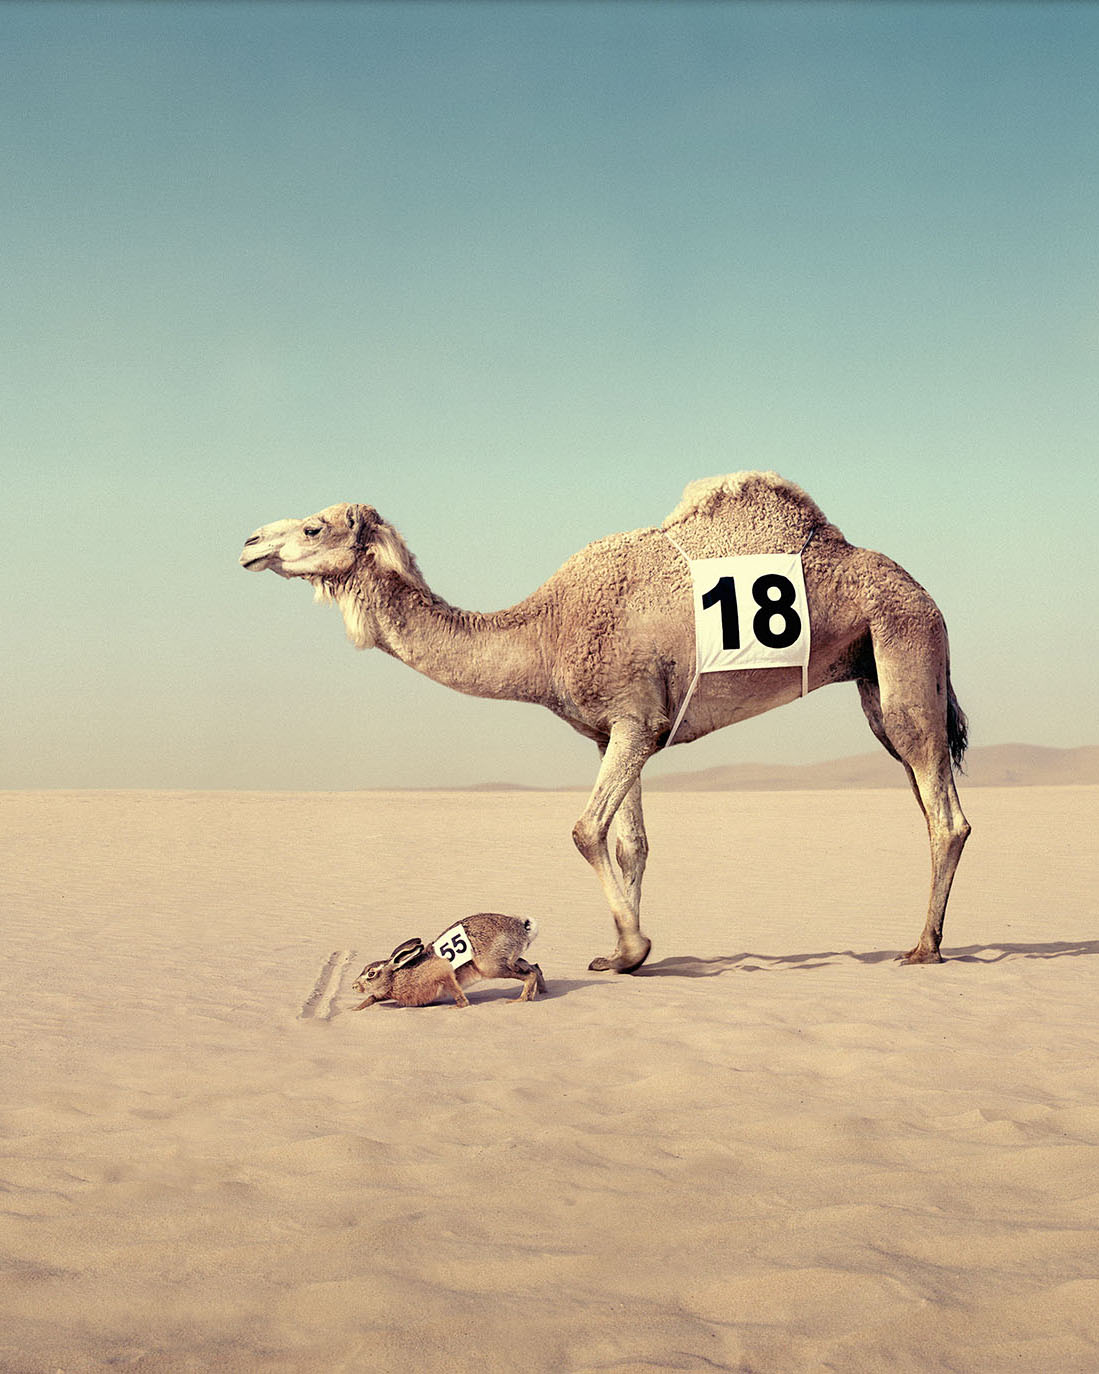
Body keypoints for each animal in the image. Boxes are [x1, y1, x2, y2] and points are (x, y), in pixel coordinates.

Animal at [240, 472, 970, 970]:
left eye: (312, 527)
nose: (249, 543)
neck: (544, 633)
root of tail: (925, 593)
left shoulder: (636, 720)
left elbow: (585, 829)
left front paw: (632, 947)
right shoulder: (614, 731)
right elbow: (630, 843)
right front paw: (626, 954)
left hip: (904, 645)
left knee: (944, 810)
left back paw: (923, 948)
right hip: (874, 676)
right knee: (923, 788)